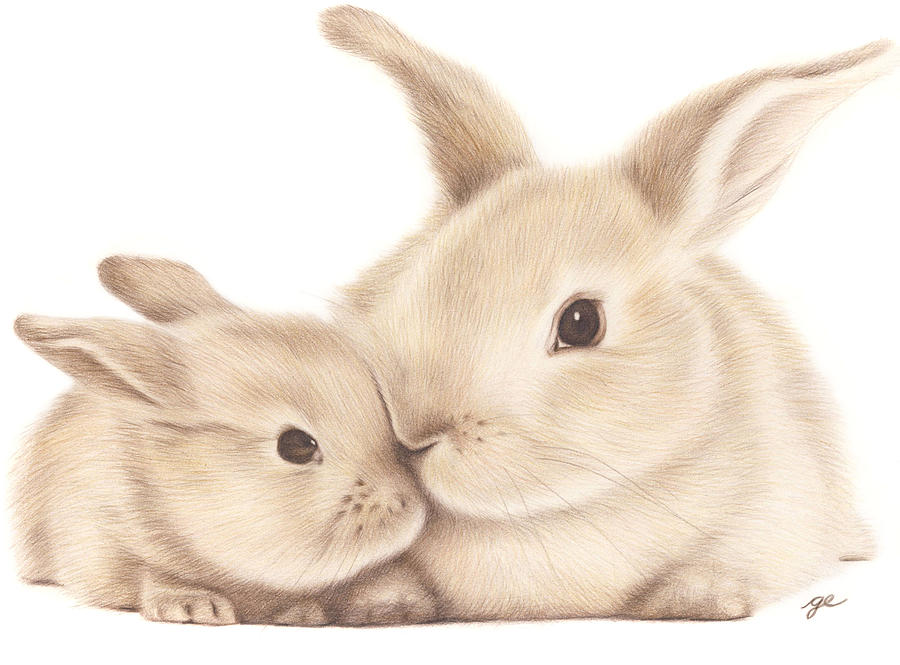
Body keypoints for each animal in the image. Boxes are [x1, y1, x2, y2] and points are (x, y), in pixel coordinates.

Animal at [11, 261, 433, 625]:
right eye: (296, 445)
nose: (410, 506)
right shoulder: (100, 535)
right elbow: (150, 575)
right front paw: (194, 606)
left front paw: (397, 603)